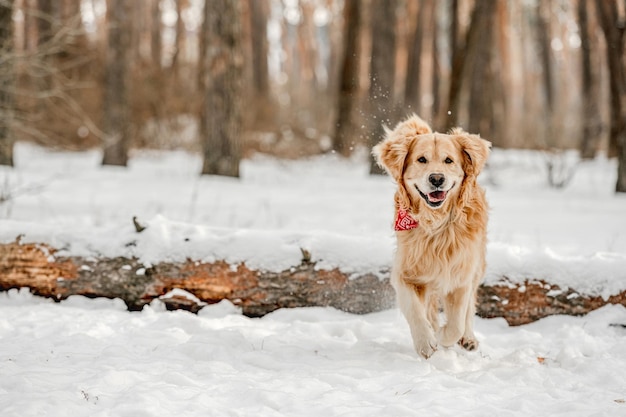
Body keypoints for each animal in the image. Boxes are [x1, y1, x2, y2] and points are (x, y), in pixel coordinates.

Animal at [370, 114, 488, 358]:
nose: (436, 179)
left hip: (477, 264)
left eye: (448, 160)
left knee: (469, 308)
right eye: (421, 159)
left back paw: (468, 338)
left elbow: (456, 323)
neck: (435, 226)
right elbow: (415, 310)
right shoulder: (406, 274)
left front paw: (443, 335)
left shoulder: (461, 275)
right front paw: (426, 341)